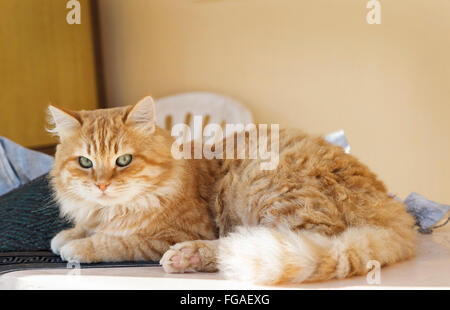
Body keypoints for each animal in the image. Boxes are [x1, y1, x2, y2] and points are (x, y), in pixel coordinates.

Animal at [48, 96, 414, 284]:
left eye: (123, 160)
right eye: (85, 162)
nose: (102, 184)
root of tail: (392, 212)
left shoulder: (174, 231)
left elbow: (117, 241)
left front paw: (80, 246)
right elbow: (84, 227)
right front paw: (69, 234)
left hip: (265, 190)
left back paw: (187, 256)